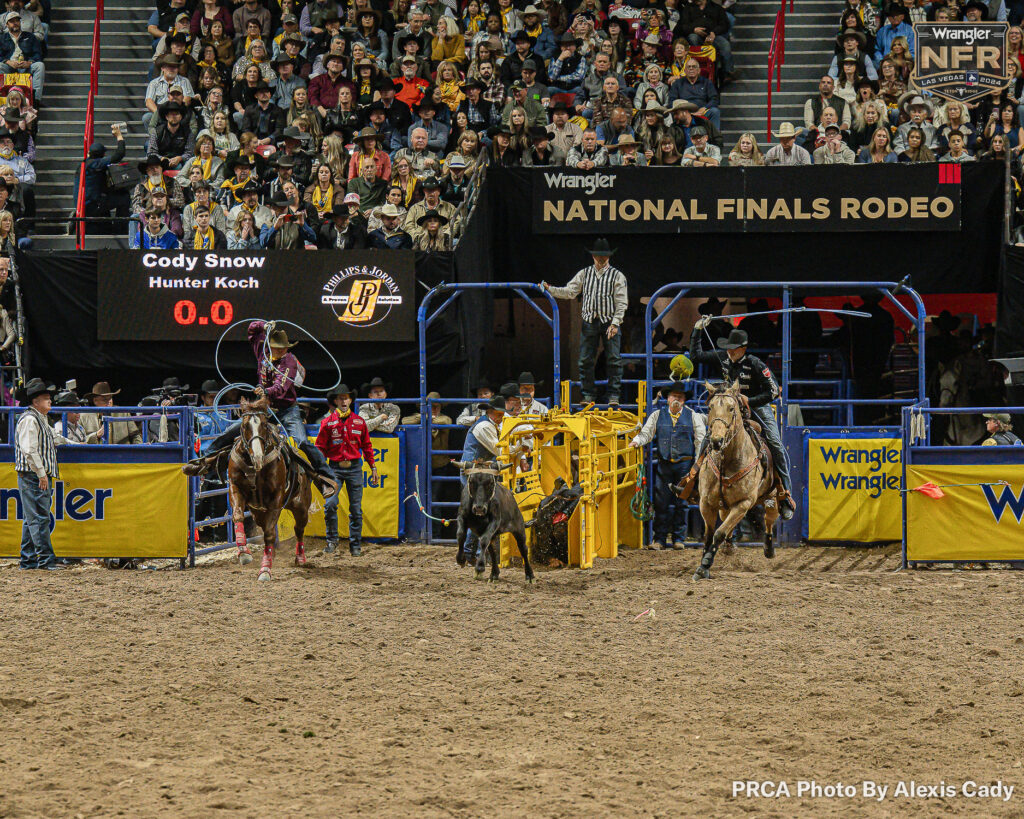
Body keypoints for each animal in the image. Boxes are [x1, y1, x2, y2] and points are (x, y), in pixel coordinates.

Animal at [228, 397, 311, 581]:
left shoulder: (275, 499)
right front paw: (243, 552)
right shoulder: (235, 487)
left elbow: (270, 534)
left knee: (299, 529)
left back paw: (300, 558)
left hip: (301, 506)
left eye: (264, 425)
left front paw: (265, 570)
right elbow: (237, 515)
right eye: (245, 425)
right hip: (258, 511)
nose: (258, 457)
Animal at [692, 380, 778, 577]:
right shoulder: (706, 503)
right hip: (725, 505)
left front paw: (705, 564)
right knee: (726, 520)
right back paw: (729, 547)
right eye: (710, 407)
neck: (728, 460)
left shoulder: (743, 503)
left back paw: (769, 548)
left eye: (731, 408)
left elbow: (719, 533)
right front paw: (704, 562)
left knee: (769, 518)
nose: (716, 441)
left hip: (772, 495)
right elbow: (709, 535)